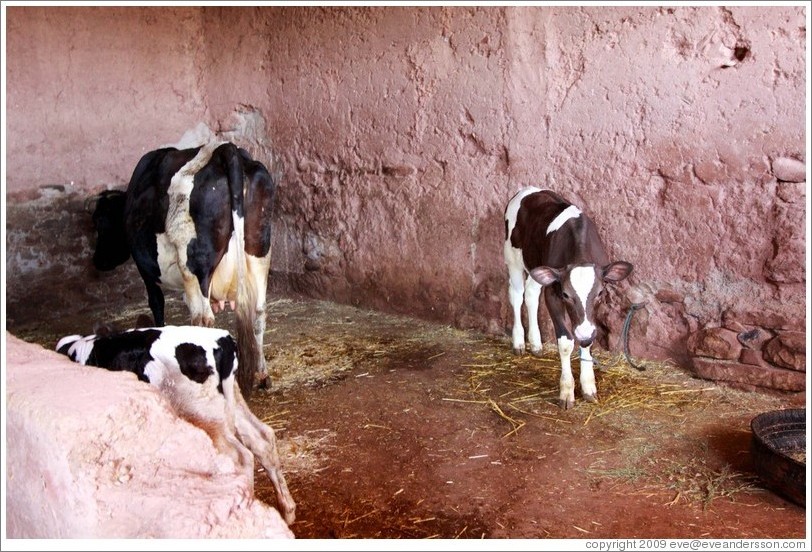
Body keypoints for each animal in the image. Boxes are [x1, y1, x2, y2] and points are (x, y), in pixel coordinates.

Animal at [58, 324, 298, 528]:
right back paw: (287, 511)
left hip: (203, 414)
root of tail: (221, 339)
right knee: (262, 439)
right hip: (231, 404)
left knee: (241, 456)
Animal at [87, 142, 274, 396]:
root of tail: (225, 150)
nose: (97, 260)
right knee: (258, 312)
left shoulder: (146, 271)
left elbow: (157, 307)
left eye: (99, 224)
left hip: (194, 264)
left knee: (203, 318)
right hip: (259, 251)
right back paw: (261, 374)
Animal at [502, 188, 636, 408]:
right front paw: (566, 391)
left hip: (537, 266)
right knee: (516, 294)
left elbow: (588, 340)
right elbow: (565, 343)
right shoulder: (553, 293)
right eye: (566, 294)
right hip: (512, 255)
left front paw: (589, 386)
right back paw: (519, 341)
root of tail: (527, 190)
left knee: (531, 293)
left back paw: (536, 343)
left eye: (600, 293)